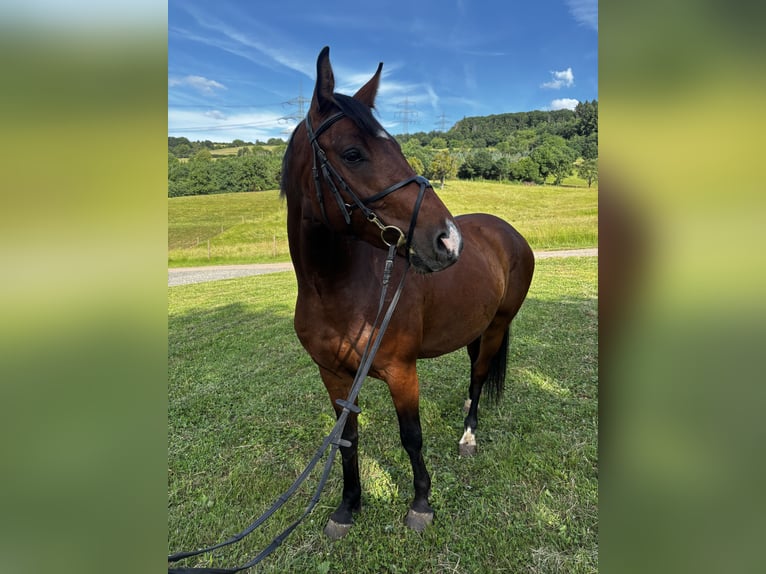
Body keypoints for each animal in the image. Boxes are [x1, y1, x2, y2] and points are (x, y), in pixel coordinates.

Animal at [280, 47, 534, 539]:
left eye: (398, 147)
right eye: (353, 153)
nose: (448, 240)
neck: (337, 289)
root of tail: (508, 233)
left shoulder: (402, 372)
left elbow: (411, 437)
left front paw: (420, 503)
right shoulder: (334, 377)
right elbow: (348, 439)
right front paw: (348, 506)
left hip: (497, 324)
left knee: (480, 374)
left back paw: (469, 434)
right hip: (475, 325)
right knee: (475, 368)